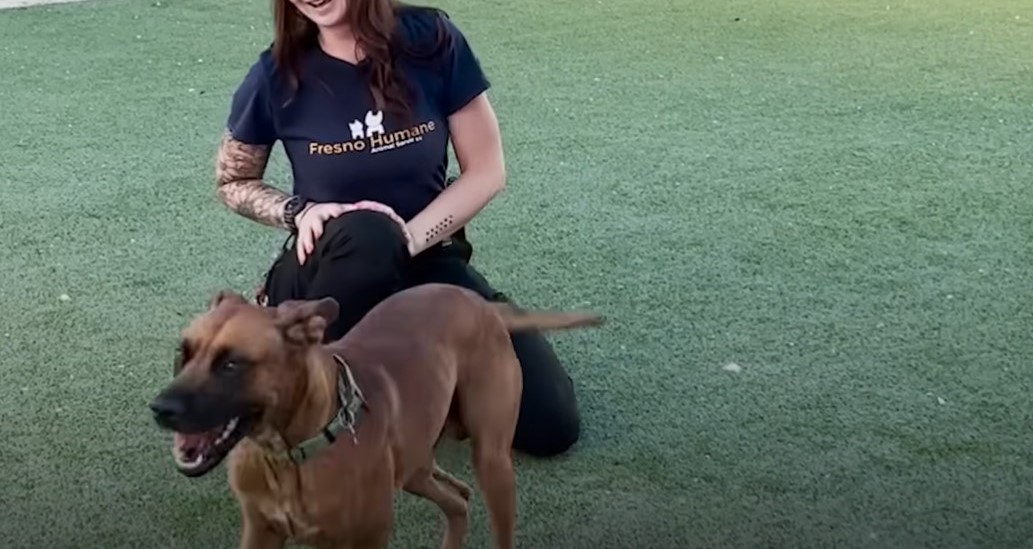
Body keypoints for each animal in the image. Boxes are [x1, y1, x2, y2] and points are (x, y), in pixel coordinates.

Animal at [151, 283, 603, 549]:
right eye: (182, 353)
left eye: (231, 365)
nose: (160, 409)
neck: (287, 458)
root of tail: (480, 302)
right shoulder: (260, 531)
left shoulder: (367, 538)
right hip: (416, 465)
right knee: (457, 500)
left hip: (491, 461)